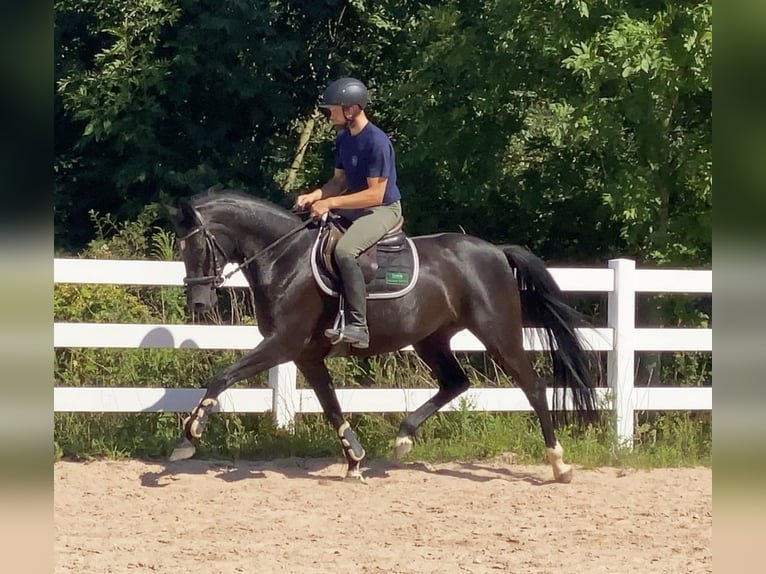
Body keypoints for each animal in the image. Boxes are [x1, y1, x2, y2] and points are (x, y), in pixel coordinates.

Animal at [164, 189, 600, 483]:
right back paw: (403, 438)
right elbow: (331, 406)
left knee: (532, 386)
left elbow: (223, 376)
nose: (199, 305)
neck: (284, 259)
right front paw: (355, 460)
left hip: (498, 333)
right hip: (431, 338)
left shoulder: (283, 344)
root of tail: (495, 251)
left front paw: (189, 435)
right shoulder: (306, 355)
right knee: (456, 382)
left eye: (198, 247)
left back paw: (559, 463)